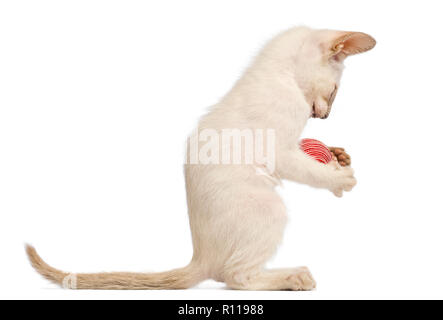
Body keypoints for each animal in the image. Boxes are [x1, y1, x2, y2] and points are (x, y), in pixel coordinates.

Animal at [26, 26, 376, 290]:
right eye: (335, 91)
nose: (325, 117)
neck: (281, 72)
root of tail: (200, 256)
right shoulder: (279, 148)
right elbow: (310, 171)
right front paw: (340, 178)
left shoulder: (292, 143)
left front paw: (339, 155)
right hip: (269, 208)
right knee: (236, 277)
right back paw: (294, 278)